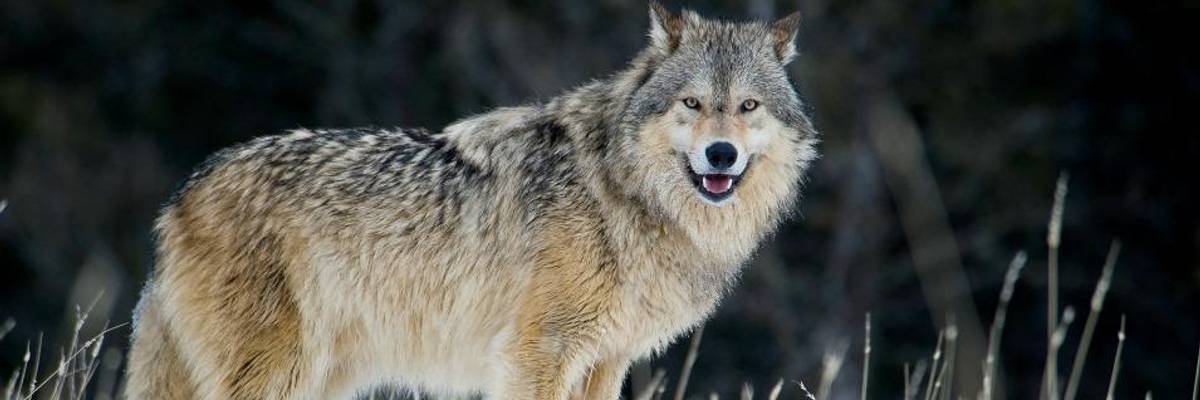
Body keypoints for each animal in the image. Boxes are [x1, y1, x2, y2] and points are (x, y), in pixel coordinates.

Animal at [125, 4, 818, 399]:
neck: (622, 194)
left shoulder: (605, 362)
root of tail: (181, 194)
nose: (721, 155)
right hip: (275, 373)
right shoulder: (538, 354)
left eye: (748, 107)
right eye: (692, 103)